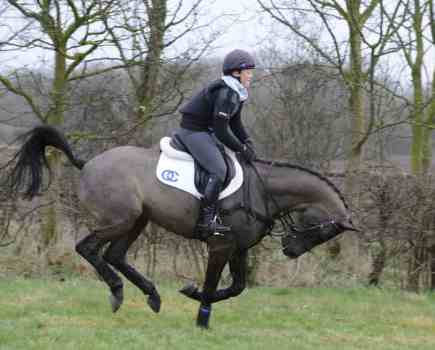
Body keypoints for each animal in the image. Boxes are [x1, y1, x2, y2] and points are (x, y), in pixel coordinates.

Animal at [5, 125, 358, 328]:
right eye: (321, 229)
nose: (290, 251)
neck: (262, 190)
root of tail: (87, 162)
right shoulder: (220, 245)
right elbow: (215, 283)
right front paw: (201, 319)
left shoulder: (238, 248)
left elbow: (236, 287)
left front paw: (191, 293)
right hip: (120, 220)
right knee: (88, 248)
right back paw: (117, 292)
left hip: (138, 220)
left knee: (115, 255)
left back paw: (151, 296)